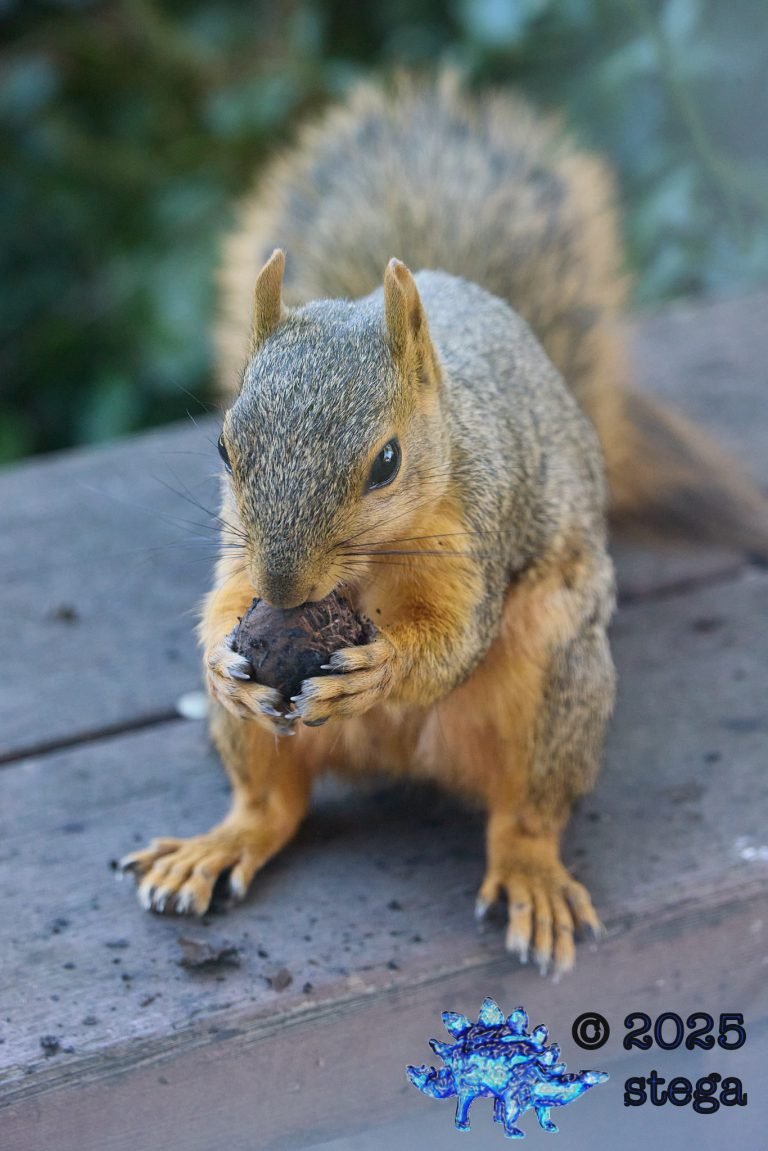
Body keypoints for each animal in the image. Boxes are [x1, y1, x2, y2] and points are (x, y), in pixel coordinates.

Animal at [121, 74, 768, 976]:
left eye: (387, 461)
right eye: (223, 444)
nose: (282, 589)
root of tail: (398, 755)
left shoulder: (481, 527)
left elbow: (459, 633)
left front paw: (382, 668)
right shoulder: (237, 552)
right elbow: (223, 601)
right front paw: (221, 659)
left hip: (554, 678)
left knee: (526, 810)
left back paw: (531, 870)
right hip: (261, 741)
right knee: (271, 804)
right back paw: (217, 844)